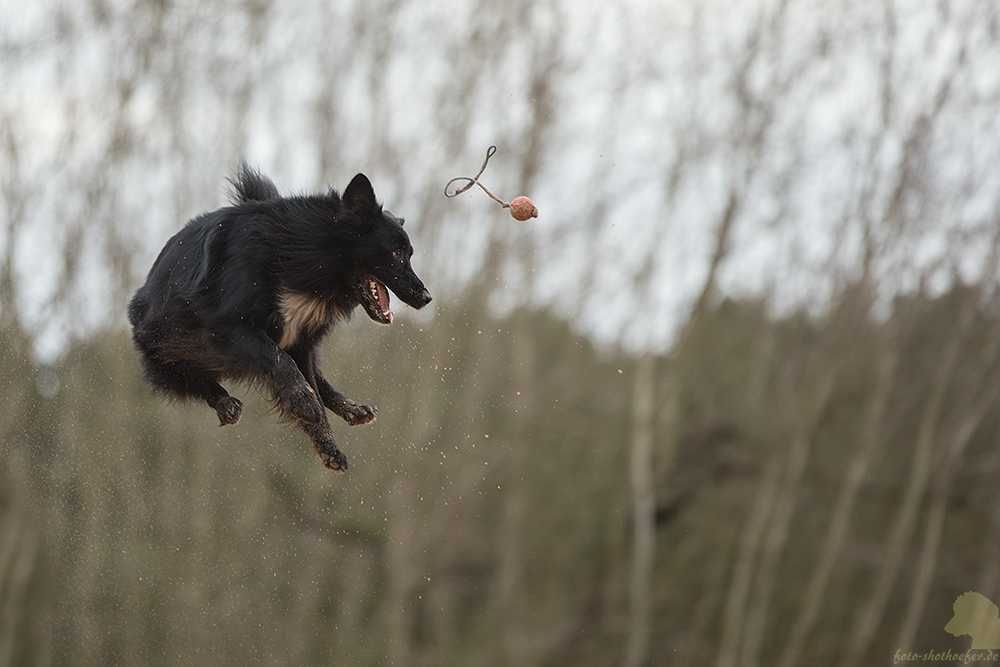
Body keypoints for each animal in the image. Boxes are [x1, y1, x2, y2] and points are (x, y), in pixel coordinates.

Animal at [128, 164, 430, 472]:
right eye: (397, 253)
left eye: (409, 254)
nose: (426, 297)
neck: (301, 255)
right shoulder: (228, 327)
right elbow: (280, 361)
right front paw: (305, 406)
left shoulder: (301, 340)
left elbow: (306, 377)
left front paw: (329, 447)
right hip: (166, 344)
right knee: (188, 376)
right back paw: (226, 404)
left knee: (319, 377)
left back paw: (354, 409)